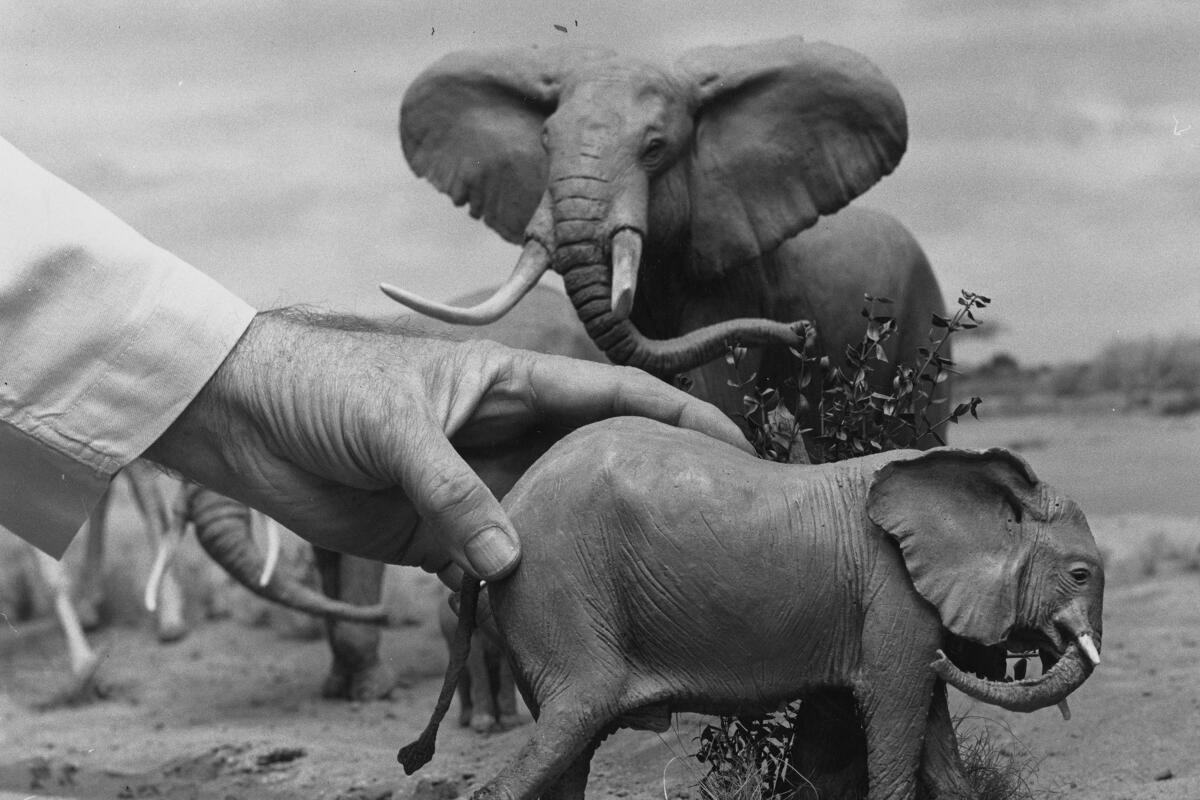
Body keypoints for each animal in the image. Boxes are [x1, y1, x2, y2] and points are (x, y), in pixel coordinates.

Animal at [384, 35, 945, 431]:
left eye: (654, 148)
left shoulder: (735, 277)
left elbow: (713, 397)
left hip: (925, 326)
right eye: (545, 140)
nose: (802, 332)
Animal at [405, 419, 1104, 800]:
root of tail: (505, 508)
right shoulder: (893, 592)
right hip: (559, 589)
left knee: (567, 757)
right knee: (570, 723)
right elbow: (896, 706)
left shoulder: (905, 608)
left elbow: (928, 719)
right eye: (1080, 575)